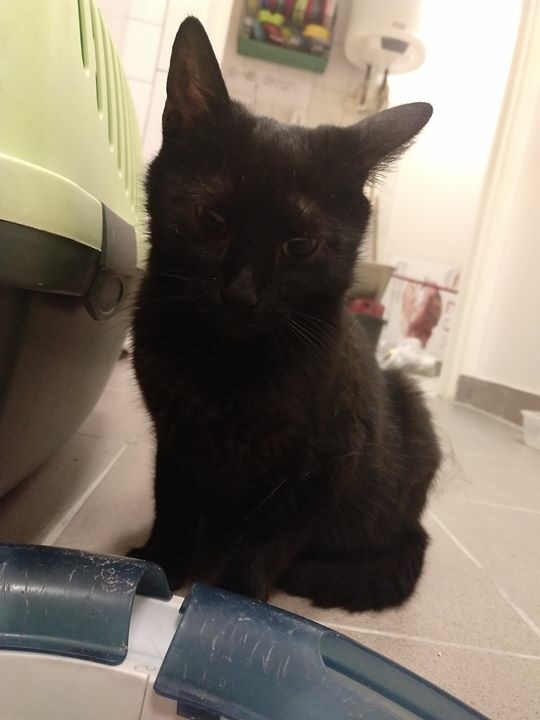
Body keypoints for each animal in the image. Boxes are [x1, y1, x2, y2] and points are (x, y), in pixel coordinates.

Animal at [128, 17, 441, 611]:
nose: (241, 293)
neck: (223, 371)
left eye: (300, 245)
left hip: (410, 409)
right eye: (210, 220)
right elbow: (171, 507)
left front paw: (231, 605)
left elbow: (264, 545)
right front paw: (154, 568)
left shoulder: (320, 473)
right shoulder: (173, 440)